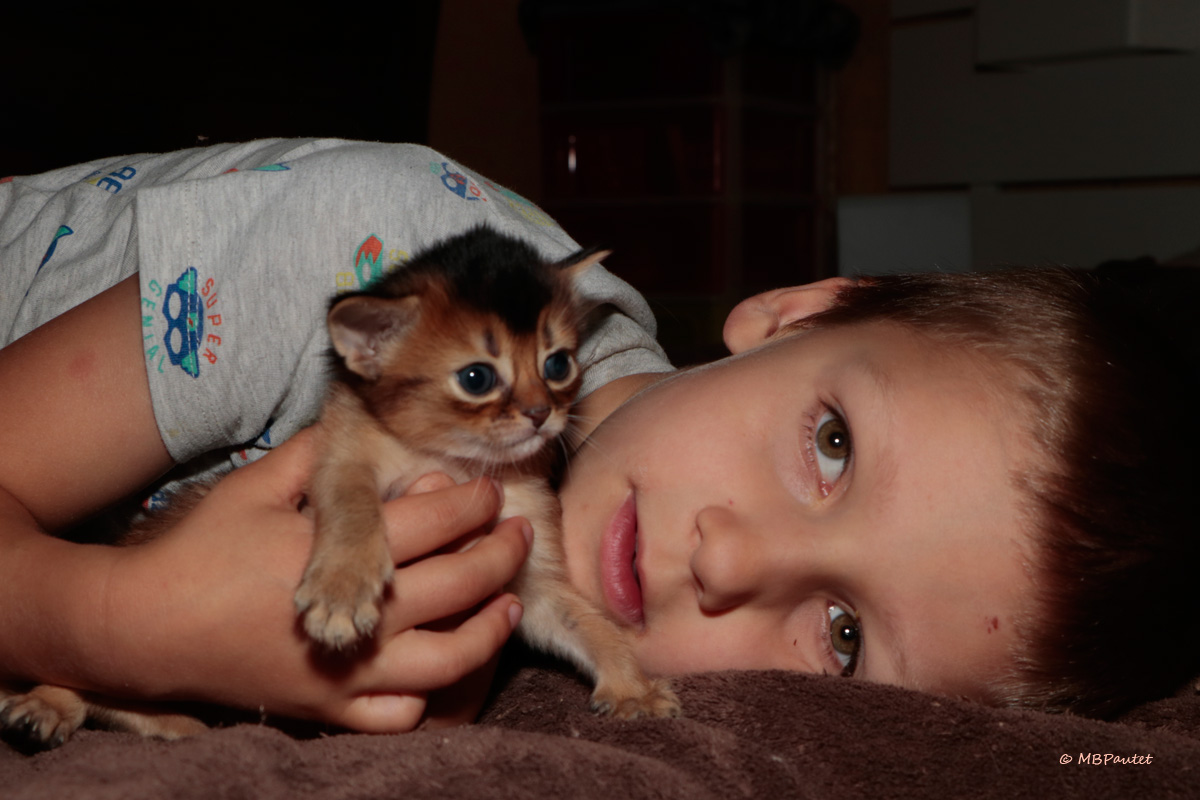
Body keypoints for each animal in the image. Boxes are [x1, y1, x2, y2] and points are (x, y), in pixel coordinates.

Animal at [0, 225, 679, 750]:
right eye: (477, 378)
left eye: (558, 364)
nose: (541, 414)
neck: (461, 464)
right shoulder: (340, 454)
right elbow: (353, 503)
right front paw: (342, 590)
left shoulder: (529, 577)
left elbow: (586, 620)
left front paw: (633, 686)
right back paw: (47, 705)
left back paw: (176, 724)